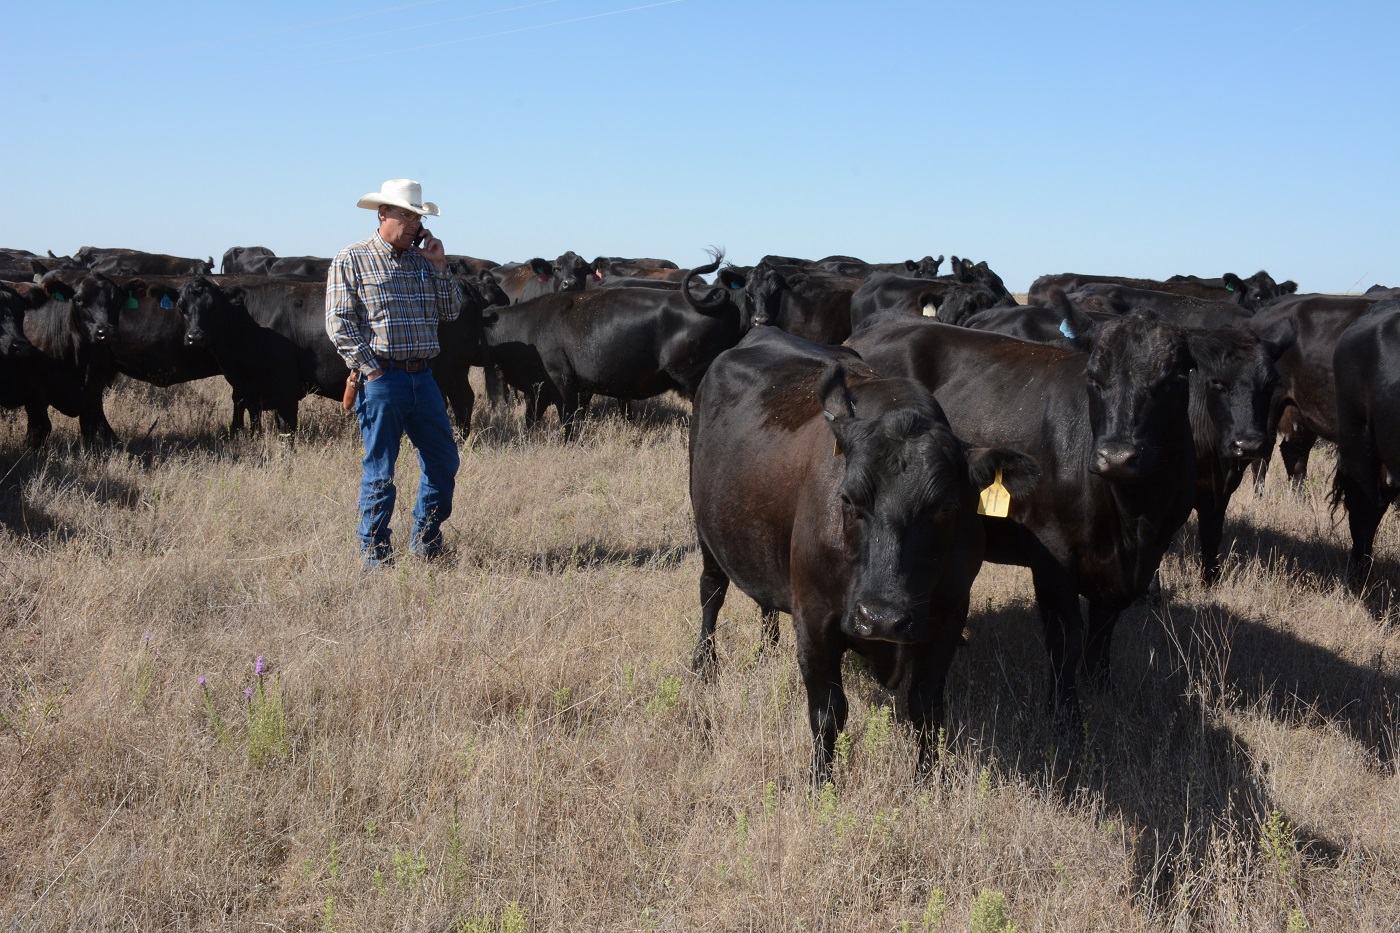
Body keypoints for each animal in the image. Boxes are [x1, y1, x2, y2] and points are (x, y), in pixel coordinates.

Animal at [689, 325, 1039, 780]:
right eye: (849, 499)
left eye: (945, 507)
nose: (882, 619)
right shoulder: (815, 619)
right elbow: (827, 713)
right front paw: (820, 782)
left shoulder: (948, 618)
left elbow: (926, 708)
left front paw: (928, 779)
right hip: (704, 528)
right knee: (711, 592)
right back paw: (703, 664)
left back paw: (766, 648)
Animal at [847, 310, 1198, 714]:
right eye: (1095, 378)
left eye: (1172, 380)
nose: (1116, 456)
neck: (1132, 521)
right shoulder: (1053, 558)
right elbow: (1066, 638)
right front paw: (1065, 715)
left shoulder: (1137, 563)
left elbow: (1102, 630)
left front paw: (1102, 688)